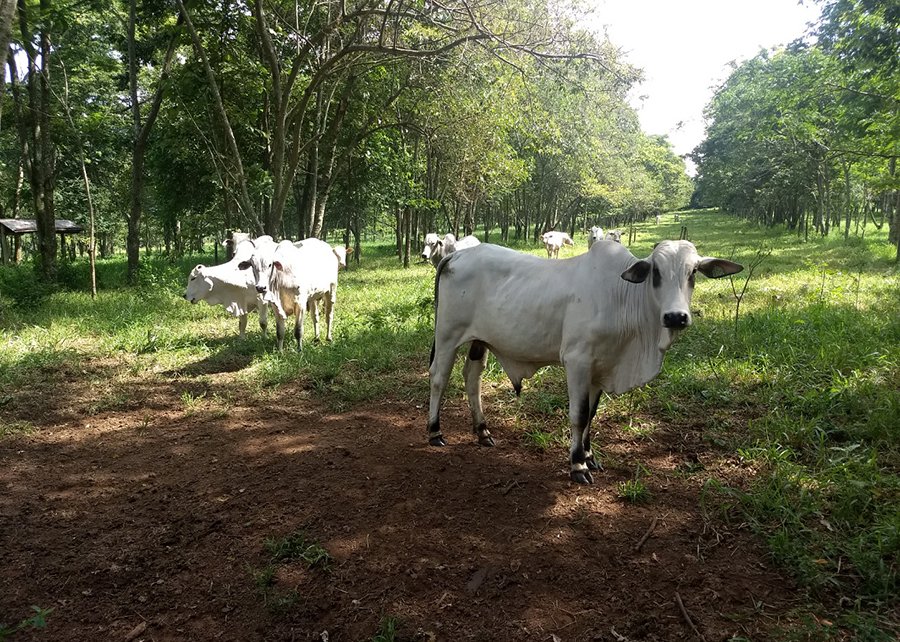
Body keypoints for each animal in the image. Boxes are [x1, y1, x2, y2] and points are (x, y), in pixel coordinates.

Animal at [428, 239, 744, 480]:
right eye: (656, 272)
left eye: (693, 272)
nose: (676, 317)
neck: (622, 297)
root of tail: (458, 254)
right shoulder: (578, 362)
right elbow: (579, 415)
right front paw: (577, 464)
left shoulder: (601, 367)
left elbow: (592, 414)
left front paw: (590, 455)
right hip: (447, 335)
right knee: (439, 377)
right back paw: (434, 431)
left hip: (479, 341)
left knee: (472, 377)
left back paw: (482, 432)